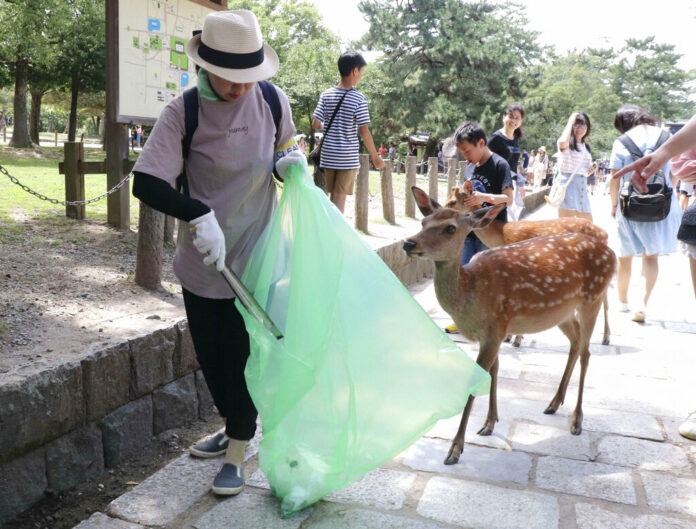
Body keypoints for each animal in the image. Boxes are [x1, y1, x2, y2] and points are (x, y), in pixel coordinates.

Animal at [406, 203, 616, 462]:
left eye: (450, 228)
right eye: (423, 221)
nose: (409, 243)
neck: (470, 293)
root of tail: (611, 252)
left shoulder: (495, 327)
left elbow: (478, 380)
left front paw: (455, 449)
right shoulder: (492, 333)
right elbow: (494, 371)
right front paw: (489, 423)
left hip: (592, 297)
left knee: (587, 352)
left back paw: (576, 420)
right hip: (562, 313)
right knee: (576, 343)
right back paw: (553, 403)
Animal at [416, 184, 612, 348]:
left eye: (453, 201)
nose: (432, 211)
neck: (502, 235)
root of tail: (605, 233)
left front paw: (516, 339)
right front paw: (511, 337)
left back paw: (606, 337)